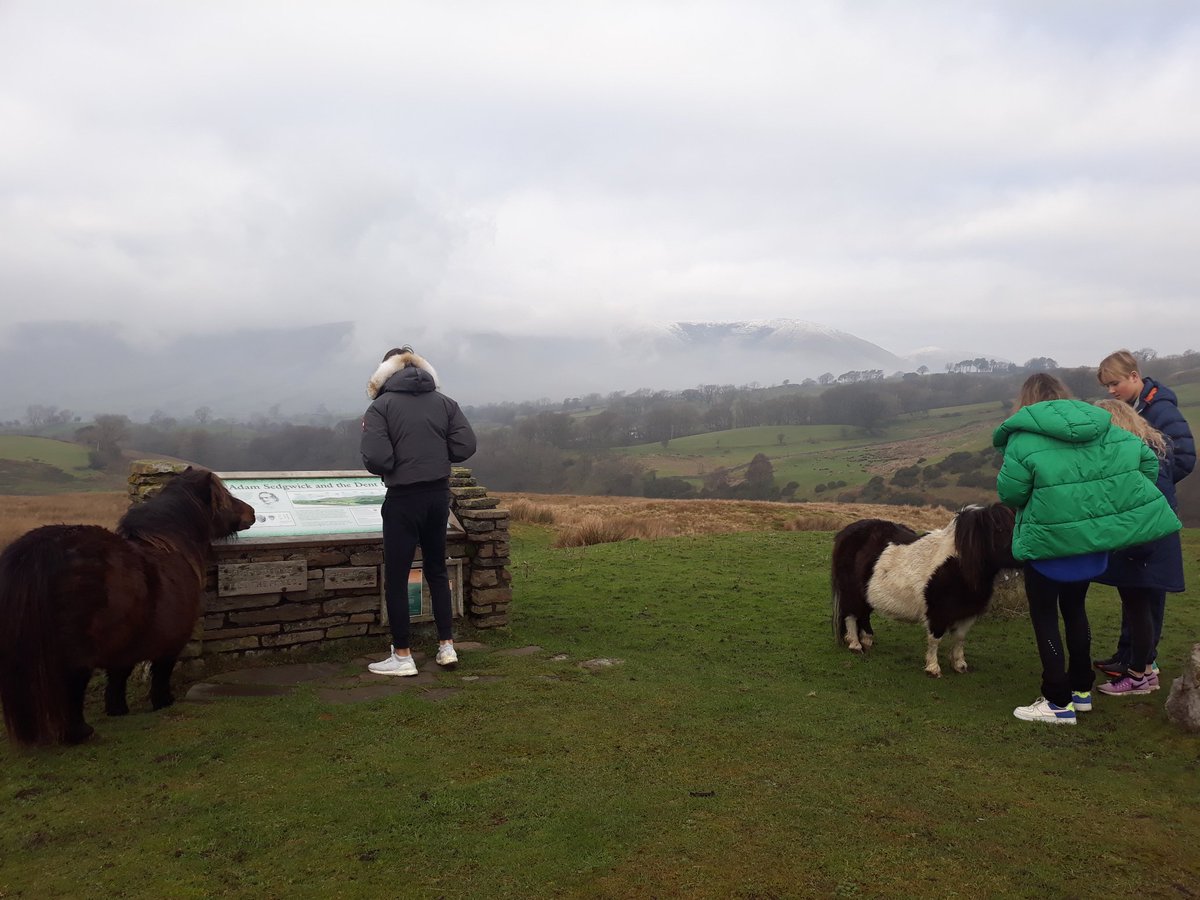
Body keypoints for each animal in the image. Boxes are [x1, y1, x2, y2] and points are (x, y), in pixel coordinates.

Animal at [0, 468, 253, 748]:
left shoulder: (126, 642)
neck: (172, 548)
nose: (252, 512)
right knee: (73, 686)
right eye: (224, 497)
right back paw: (79, 732)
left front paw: (117, 709)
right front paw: (163, 701)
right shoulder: (171, 640)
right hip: (75, 653)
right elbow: (161, 672)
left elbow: (118, 676)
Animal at [830, 508, 1017, 676]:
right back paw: (855, 644)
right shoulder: (937, 614)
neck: (959, 565)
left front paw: (959, 665)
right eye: (1001, 529)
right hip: (851, 592)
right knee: (851, 615)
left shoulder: (967, 614)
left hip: (867, 595)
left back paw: (867, 640)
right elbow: (935, 639)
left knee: (863, 615)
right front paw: (933, 668)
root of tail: (847, 532)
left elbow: (959, 638)